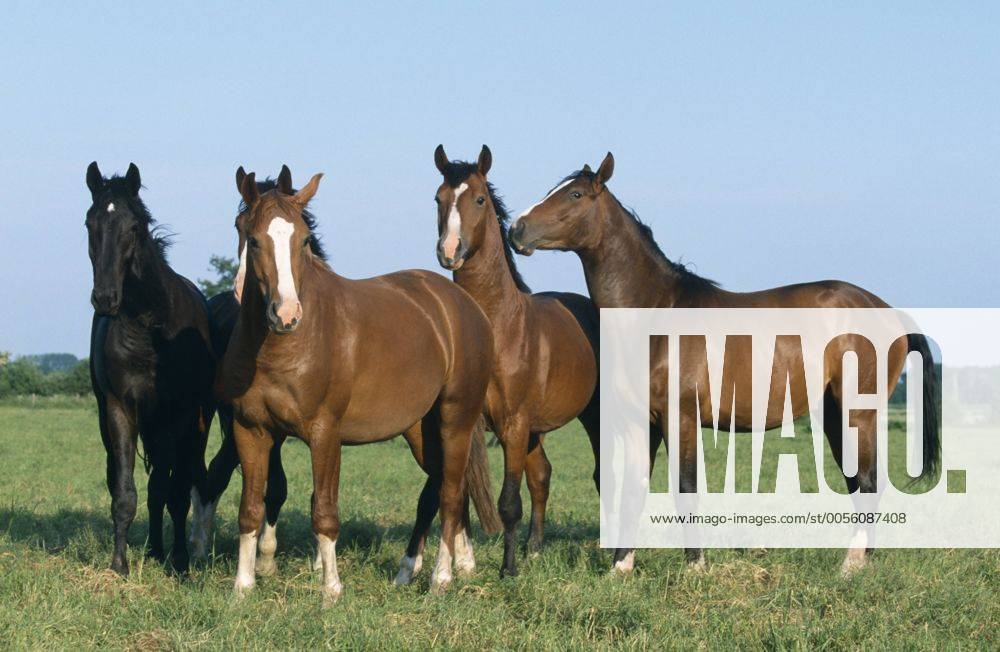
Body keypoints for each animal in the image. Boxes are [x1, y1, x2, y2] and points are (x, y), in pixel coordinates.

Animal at [85, 162, 216, 575]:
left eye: (134, 227)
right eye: (90, 223)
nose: (105, 298)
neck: (150, 327)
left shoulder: (180, 415)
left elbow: (173, 492)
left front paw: (181, 563)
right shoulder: (119, 409)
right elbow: (125, 493)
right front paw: (119, 565)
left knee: (168, 485)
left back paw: (167, 552)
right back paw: (156, 550)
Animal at [190, 171, 501, 576]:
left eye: (304, 238)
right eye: (249, 235)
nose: (285, 313)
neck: (284, 349)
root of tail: (464, 306)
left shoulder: (325, 433)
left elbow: (322, 510)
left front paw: (325, 581)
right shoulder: (251, 429)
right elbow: (253, 509)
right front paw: (248, 581)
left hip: (455, 417)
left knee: (449, 487)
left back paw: (441, 572)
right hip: (421, 426)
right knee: (443, 483)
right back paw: (424, 568)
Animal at [429, 145, 599, 578]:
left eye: (479, 199)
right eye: (439, 198)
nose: (449, 251)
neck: (498, 328)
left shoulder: (513, 423)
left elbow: (508, 502)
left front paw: (507, 570)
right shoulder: (473, 423)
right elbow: (459, 493)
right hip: (536, 430)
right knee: (541, 477)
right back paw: (535, 548)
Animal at [509, 152, 940, 577]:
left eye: (575, 194)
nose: (517, 229)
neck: (654, 310)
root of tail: (884, 309)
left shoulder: (679, 417)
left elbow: (685, 487)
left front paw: (696, 566)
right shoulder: (640, 422)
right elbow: (634, 488)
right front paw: (621, 566)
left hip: (857, 413)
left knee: (867, 481)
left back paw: (850, 565)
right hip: (834, 413)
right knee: (861, 482)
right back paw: (865, 560)